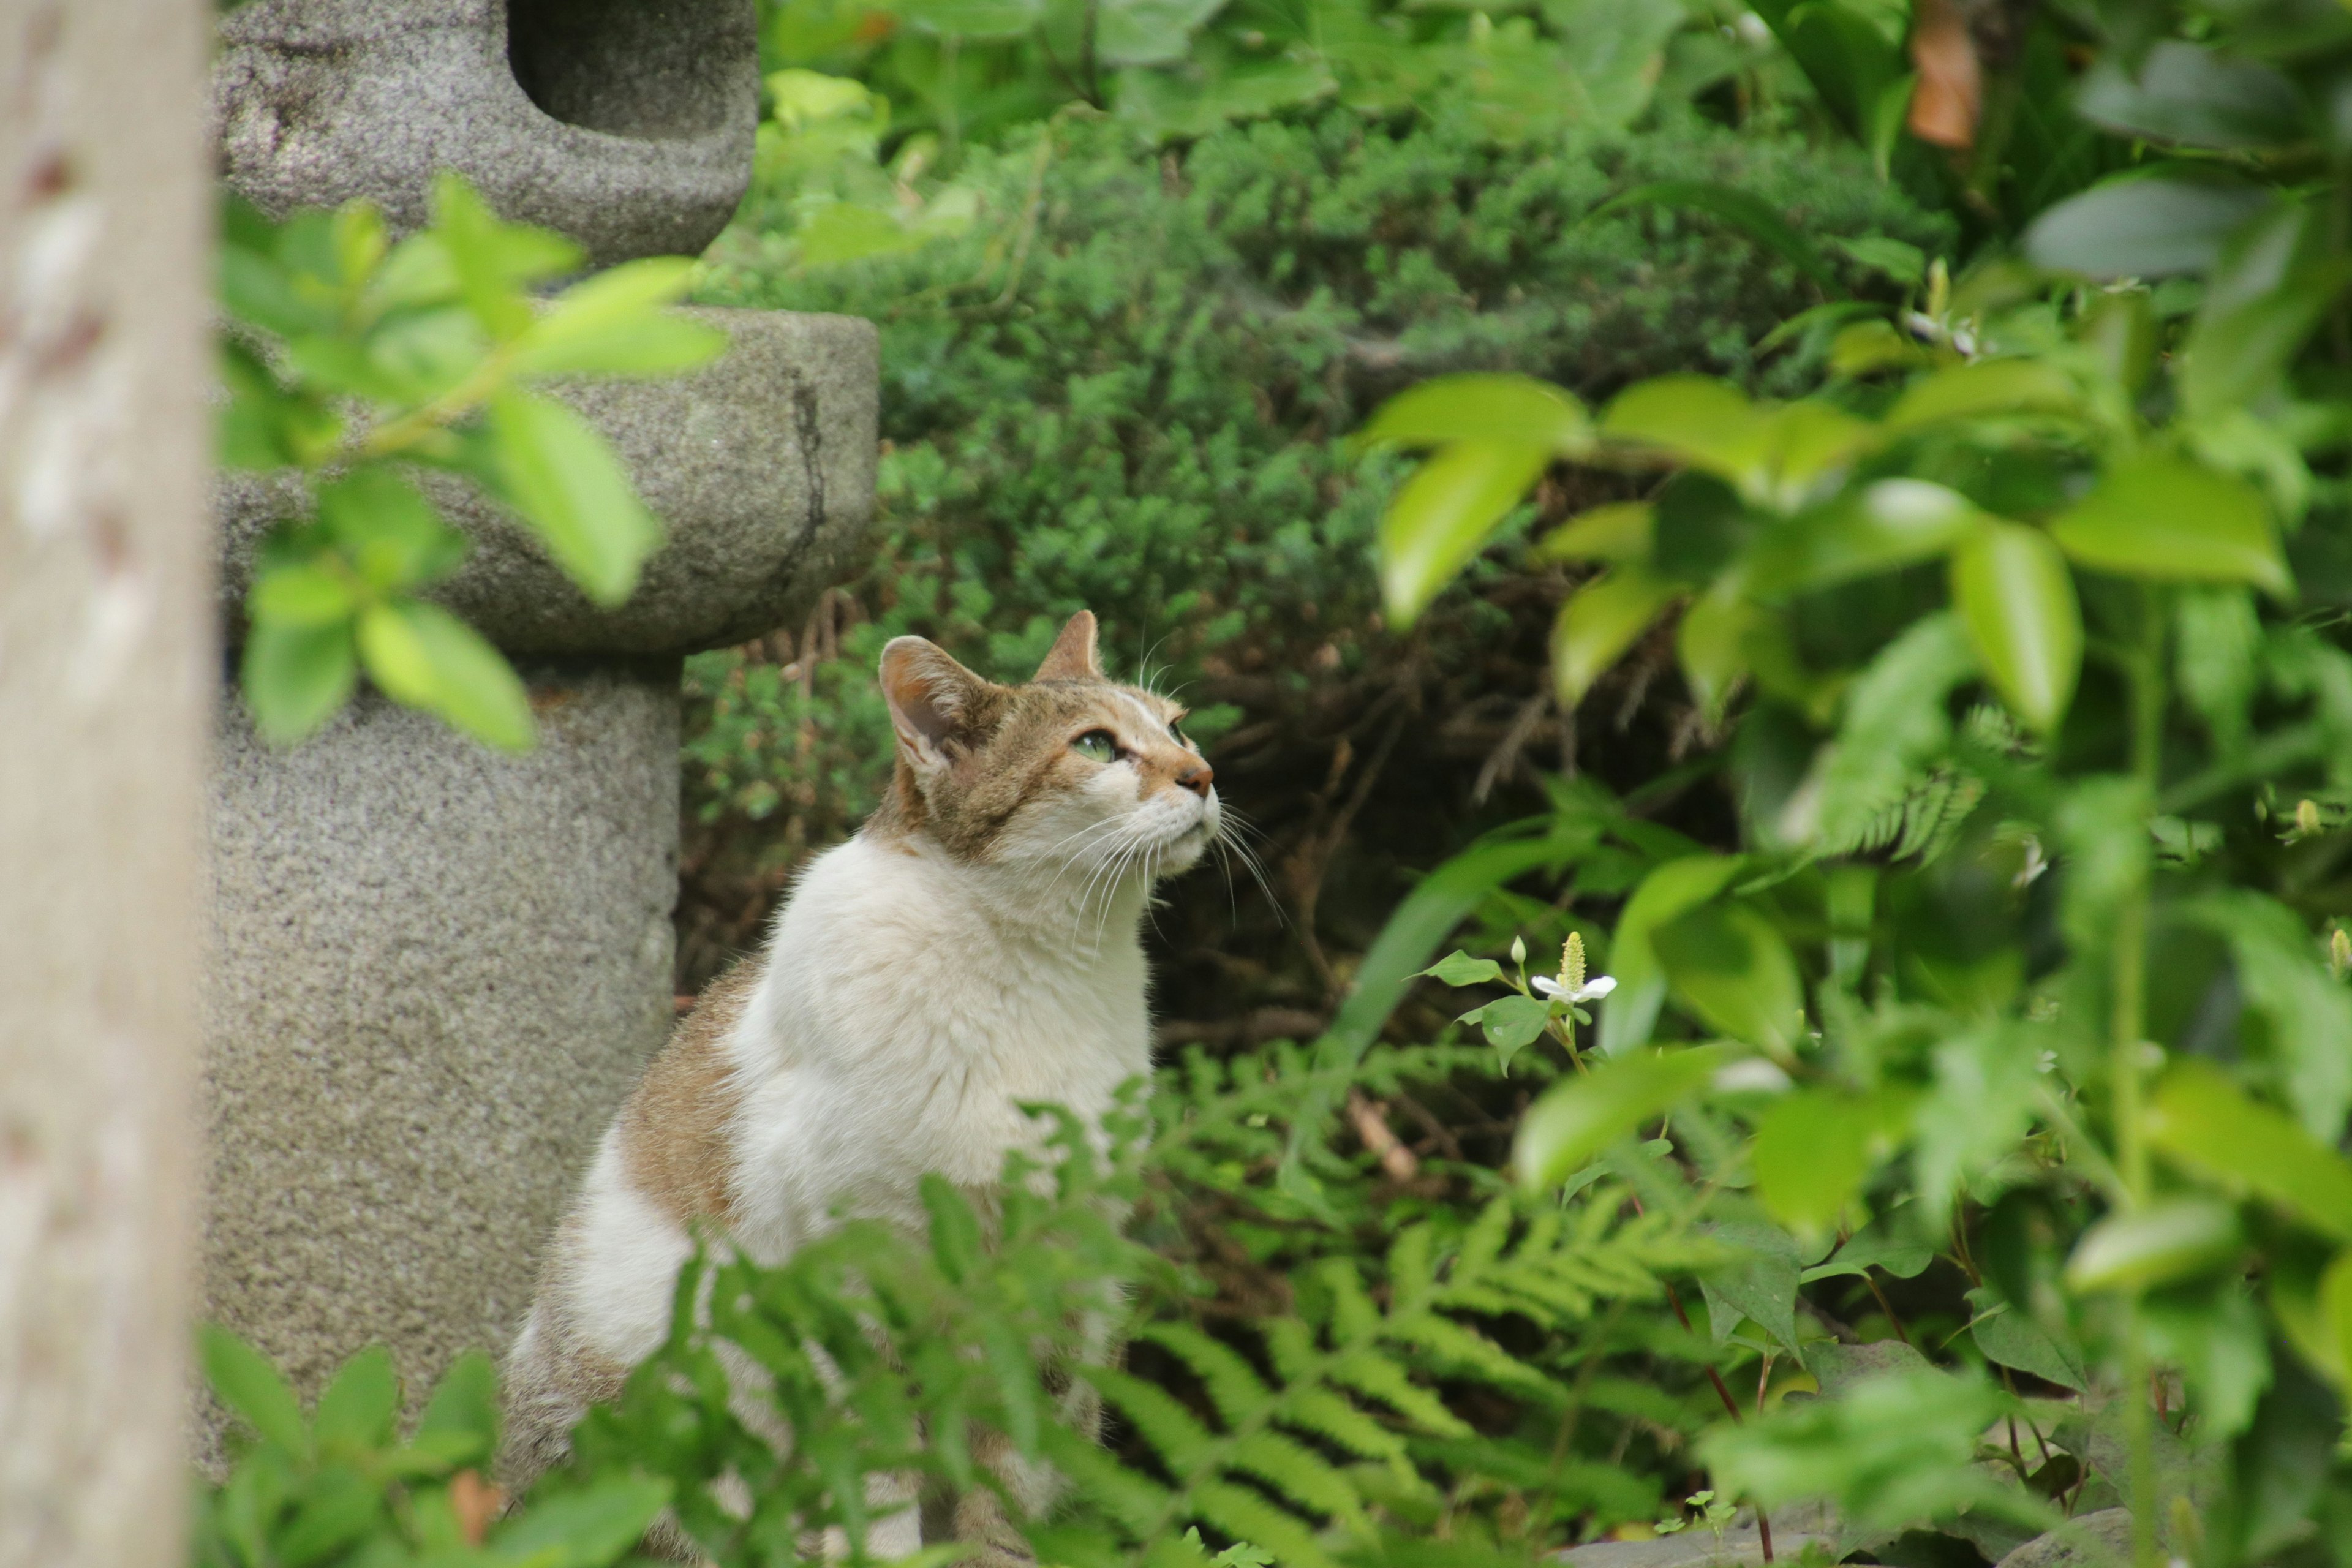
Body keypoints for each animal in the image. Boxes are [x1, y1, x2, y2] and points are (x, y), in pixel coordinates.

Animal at [503, 611, 1223, 1561]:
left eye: (1178, 727)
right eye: (1098, 745)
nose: (1205, 775)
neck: (1035, 967)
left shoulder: (1054, 1280)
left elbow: (1009, 1471)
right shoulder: (854, 1281)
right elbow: (876, 1475)